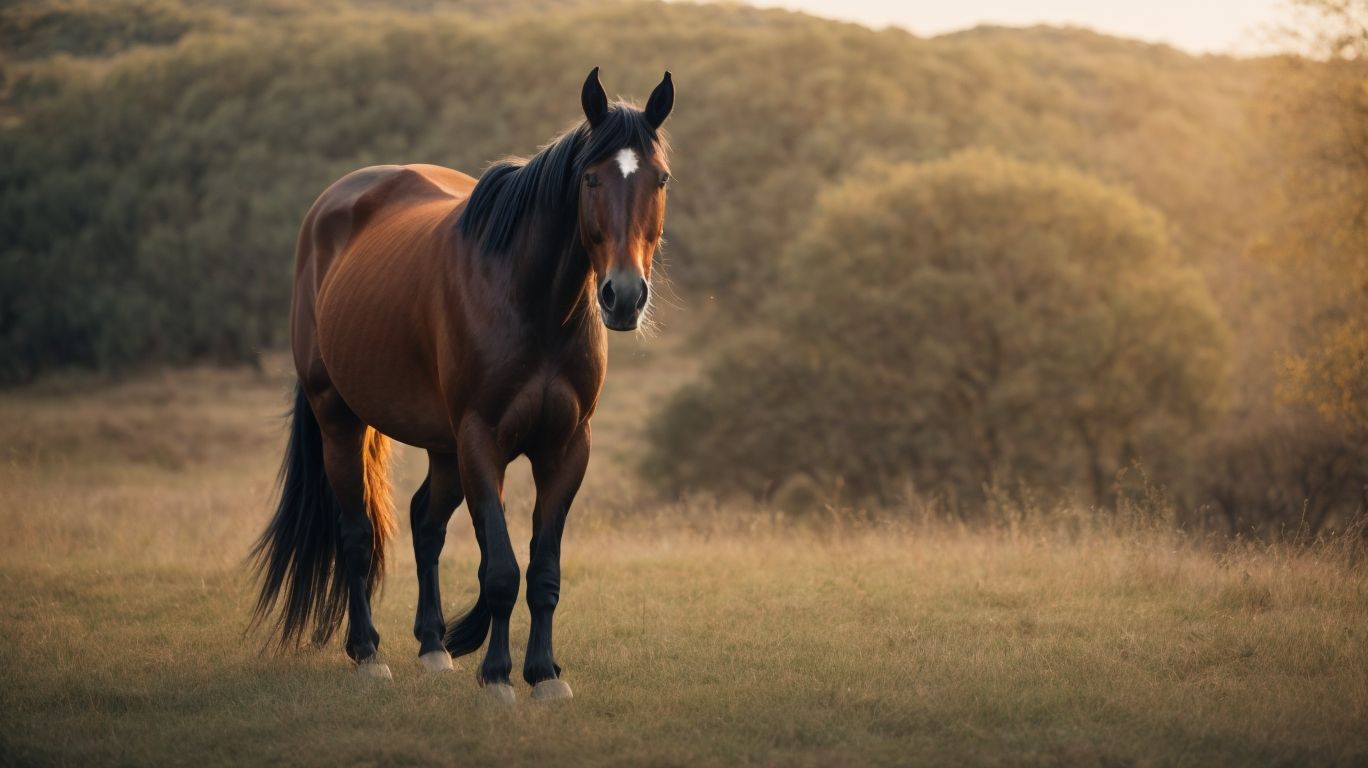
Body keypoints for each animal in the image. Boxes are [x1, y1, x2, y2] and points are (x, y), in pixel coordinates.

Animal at [250, 67, 674, 703]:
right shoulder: (482, 441)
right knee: (357, 534)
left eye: (660, 178)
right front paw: (497, 676)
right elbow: (499, 569)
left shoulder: (566, 448)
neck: (532, 302)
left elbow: (542, 571)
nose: (623, 296)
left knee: (425, 524)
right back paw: (368, 654)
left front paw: (544, 674)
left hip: (442, 446)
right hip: (340, 421)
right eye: (591, 178)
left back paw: (432, 646)